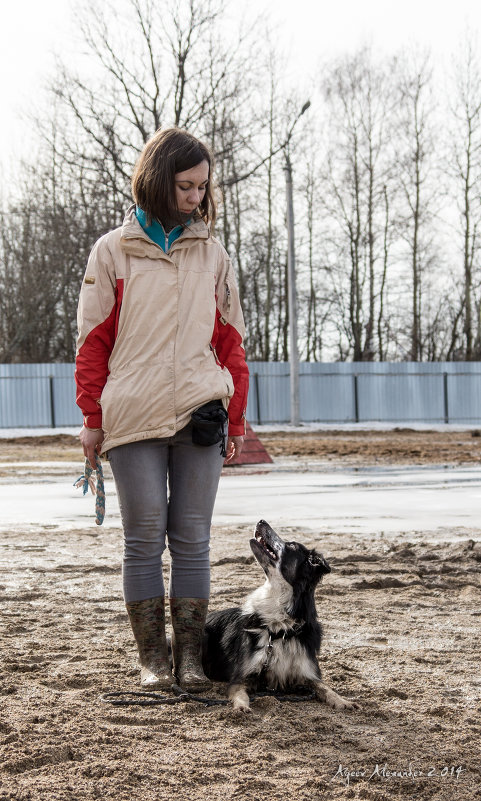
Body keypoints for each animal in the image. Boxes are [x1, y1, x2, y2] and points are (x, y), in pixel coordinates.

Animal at [201, 520, 358, 712]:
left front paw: (343, 701)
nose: (261, 521)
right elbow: (241, 694)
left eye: (291, 545)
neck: (279, 628)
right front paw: (241, 706)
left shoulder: (307, 672)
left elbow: (326, 688)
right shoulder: (241, 677)